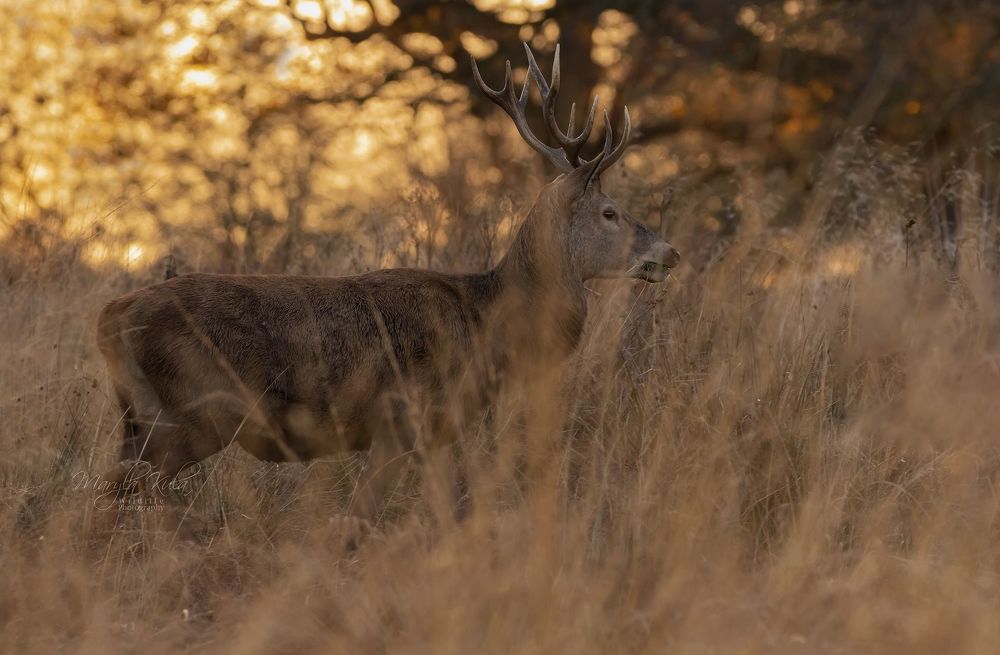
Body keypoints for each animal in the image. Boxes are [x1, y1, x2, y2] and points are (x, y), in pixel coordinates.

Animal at [96, 43, 679, 545]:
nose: (670, 252)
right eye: (610, 213)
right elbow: (359, 519)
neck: (488, 324)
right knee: (124, 487)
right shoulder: (402, 417)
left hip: (141, 416)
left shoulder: (438, 432)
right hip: (194, 411)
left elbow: (444, 514)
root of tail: (110, 317)